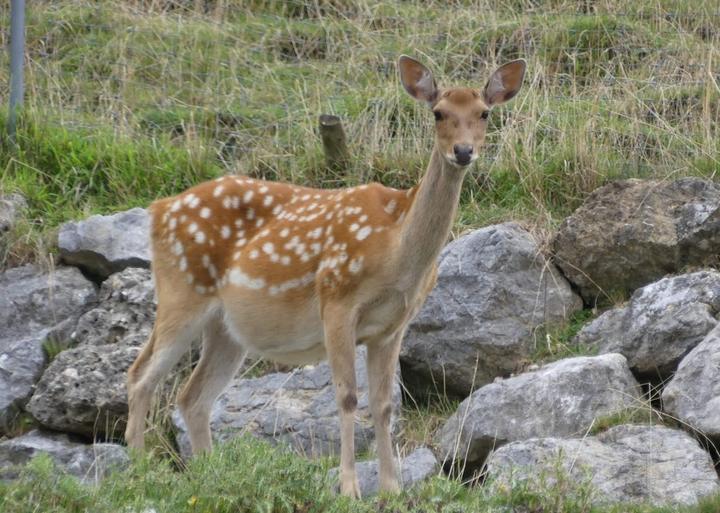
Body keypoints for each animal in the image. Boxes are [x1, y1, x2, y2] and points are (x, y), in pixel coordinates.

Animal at [126, 55, 524, 496]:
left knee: (192, 396)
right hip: (182, 291)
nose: (463, 151)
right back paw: (139, 471)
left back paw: (211, 477)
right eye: (438, 112)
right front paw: (350, 489)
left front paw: (392, 489)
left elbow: (384, 404)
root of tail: (157, 210)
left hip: (227, 328)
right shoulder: (336, 300)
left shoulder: (393, 326)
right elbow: (347, 396)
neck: (397, 253)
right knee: (140, 376)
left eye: (484, 113)